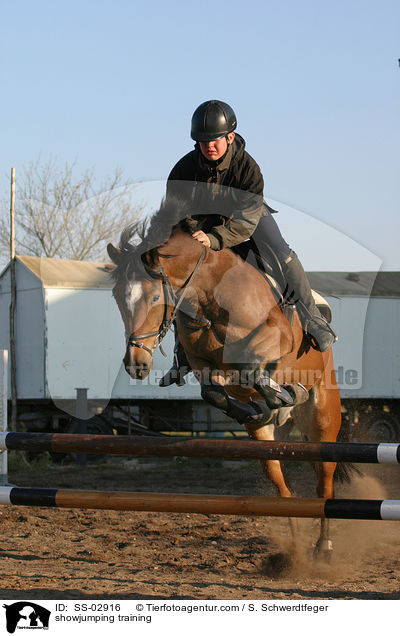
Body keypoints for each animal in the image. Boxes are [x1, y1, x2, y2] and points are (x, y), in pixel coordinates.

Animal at [108, 198, 342, 556]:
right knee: (282, 486)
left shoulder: (277, 337)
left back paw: (323, 546)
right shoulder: (202, 363)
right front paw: (253, 408)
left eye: (153, 298)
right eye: (117, 298)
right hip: (267, 442)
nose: (136, 365)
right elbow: (213, 392)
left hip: (324, 419)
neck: (210, 294)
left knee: (324, 483)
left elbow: (253, 368)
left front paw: (287, 392)